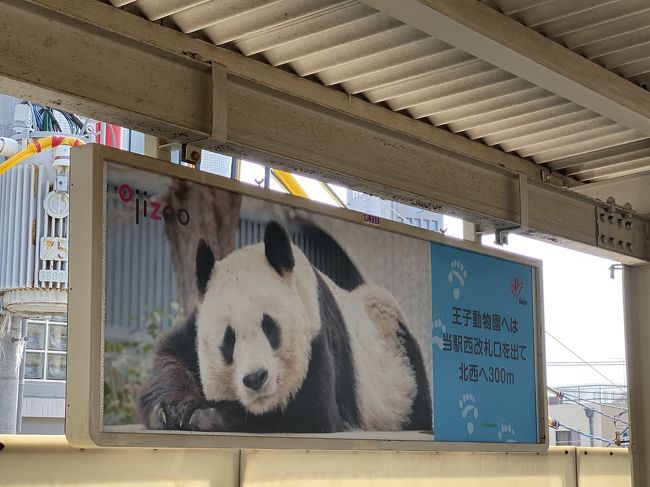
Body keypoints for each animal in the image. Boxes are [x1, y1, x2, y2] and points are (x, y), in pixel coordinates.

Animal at [137, 222, 430, 434]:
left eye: (270, 328)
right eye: (228, 341)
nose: (255, 378)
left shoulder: (317, 335)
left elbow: (309, 412)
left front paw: (210, 414)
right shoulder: (196, 324)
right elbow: (172, 355)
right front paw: (171, 408)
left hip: (396, 356)